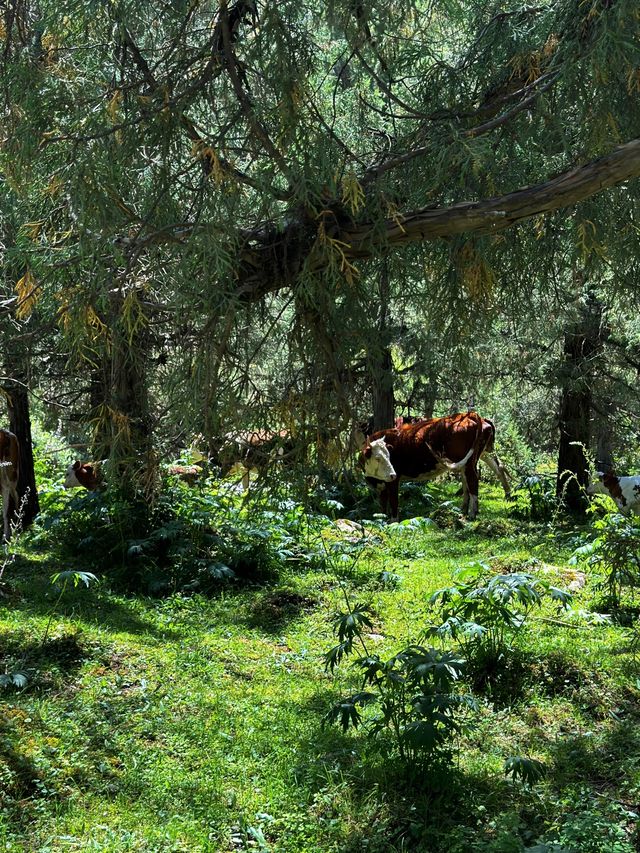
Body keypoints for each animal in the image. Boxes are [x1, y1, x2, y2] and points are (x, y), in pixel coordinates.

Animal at [360, 412, 510, 524]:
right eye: (378, 458)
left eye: (388, 456)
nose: (392, 474)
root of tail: (469, 415)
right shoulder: (382, 484)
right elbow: (383, 503)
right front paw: (382, 518)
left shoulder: (392, 481)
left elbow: (393, 501)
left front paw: (393, 521)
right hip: (475, 457)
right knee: (482, 474)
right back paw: (464, 509)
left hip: (467, 462)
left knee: (473, 480)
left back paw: (472, 513)